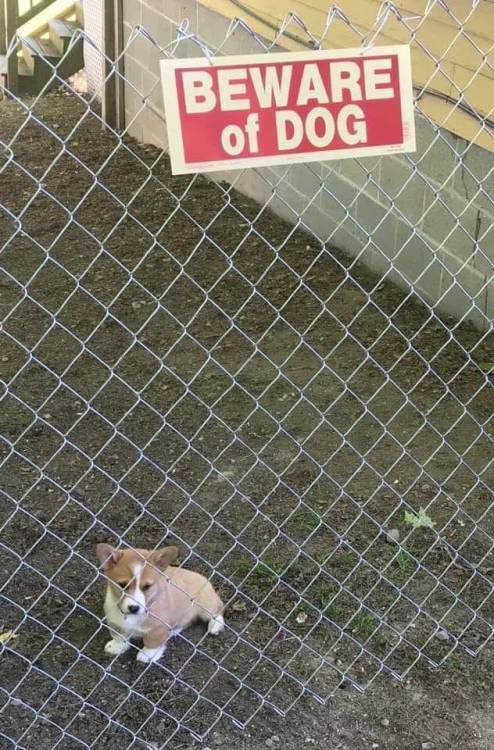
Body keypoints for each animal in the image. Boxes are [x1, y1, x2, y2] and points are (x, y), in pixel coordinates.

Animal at [96, 548, 226, 664]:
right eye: (122, 585)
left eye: (147, 587)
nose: (134, 608)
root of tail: (203, 578)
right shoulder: (115, 623)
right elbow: (118, 637)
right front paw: (116, 647)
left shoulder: (157, 629)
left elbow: (151, 642)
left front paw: (147, 654)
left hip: (206, 604)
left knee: (217, 610)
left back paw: (215, 625)